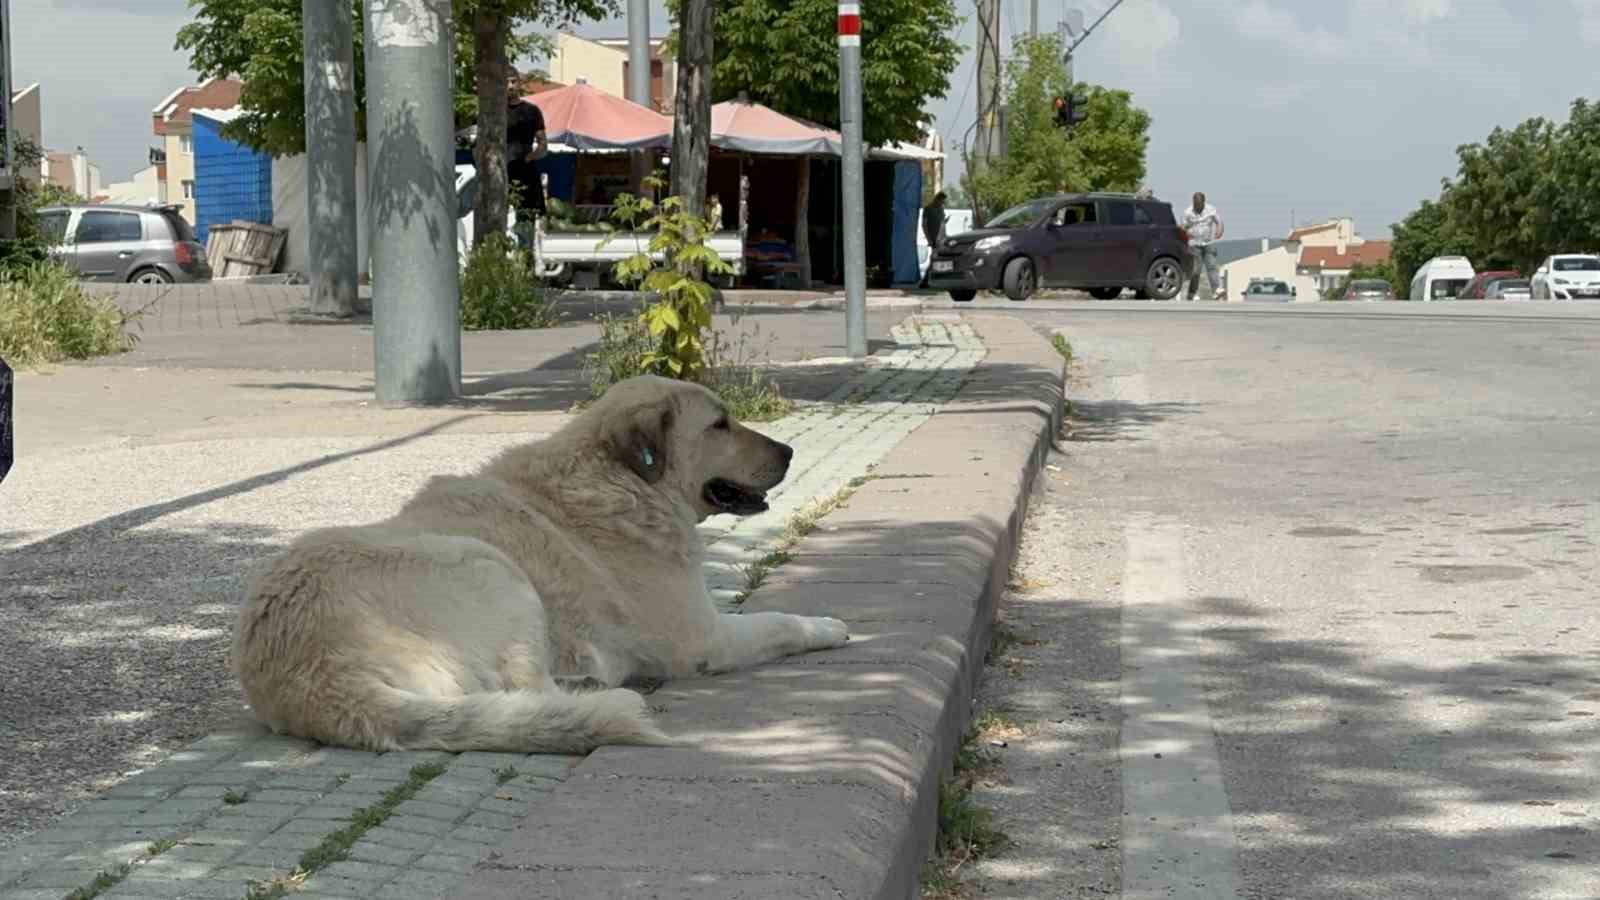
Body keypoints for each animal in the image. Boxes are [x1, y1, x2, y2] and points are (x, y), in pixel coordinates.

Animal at [233, 371, 851, 749]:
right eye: (719, 424)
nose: (790, 450)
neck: (625, 486)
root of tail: (316, 674)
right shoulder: (705, 640)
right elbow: (779, 622)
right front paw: (828, 625)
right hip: (490, 567)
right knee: (530, 690)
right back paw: (598, 689)